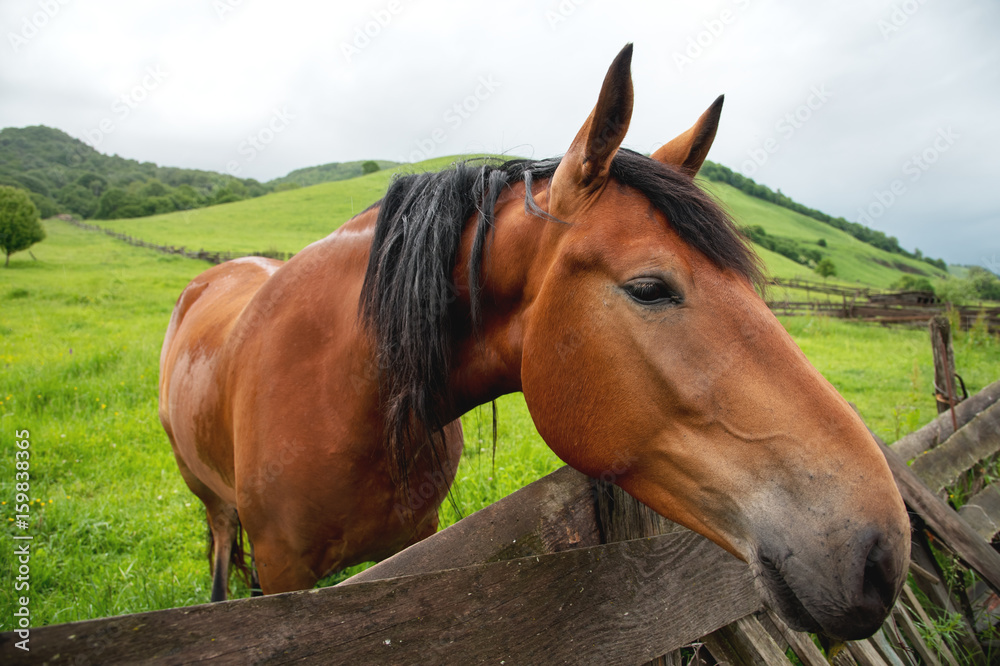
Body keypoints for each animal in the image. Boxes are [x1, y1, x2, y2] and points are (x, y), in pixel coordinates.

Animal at [158, 44, 916, 636]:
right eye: (650, 288)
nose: (882, 553)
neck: (344, 390)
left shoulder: (411, 544)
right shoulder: (284, 574)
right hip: (214, 508)